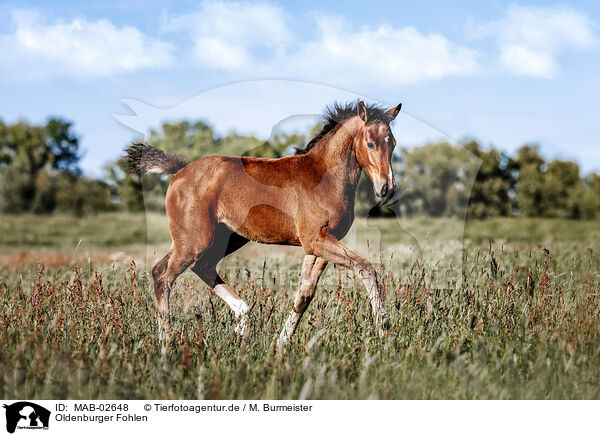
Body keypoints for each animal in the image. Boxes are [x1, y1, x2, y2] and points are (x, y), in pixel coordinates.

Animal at [127, 100, 404, 350]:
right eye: (370, 143)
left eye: (392, 143)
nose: (386, 188)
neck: (324, 176)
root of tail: (181, 171)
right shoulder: (316, 240)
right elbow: (366, 269)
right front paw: (384, 334)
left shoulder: (318, 245)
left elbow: (304, 296)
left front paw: (280, 343)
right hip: (195, 241)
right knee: (165, 277)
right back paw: (167, 343)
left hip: (218, 239)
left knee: (187, 268)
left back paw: (242, 320)